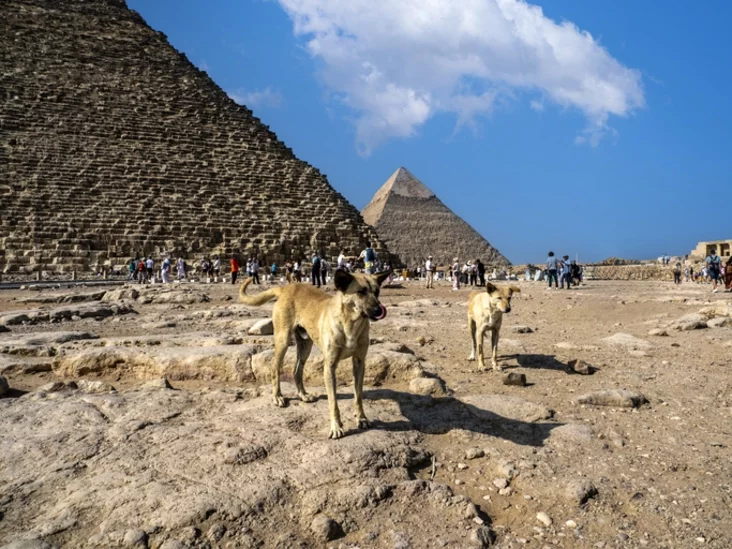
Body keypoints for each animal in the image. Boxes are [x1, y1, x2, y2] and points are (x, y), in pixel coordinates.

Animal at [240, 268, 392, 438]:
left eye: (377, 291)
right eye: (361, 292)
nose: (379, 310)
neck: (350, 323)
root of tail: (287, 287)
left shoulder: (359, 363)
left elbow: (358, 396)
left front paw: (362, 418)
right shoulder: (330, 366)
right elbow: (333, 402)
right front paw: (336, 427)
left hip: (306, 346)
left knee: (296, 370)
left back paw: (303, 394)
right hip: (283, 340)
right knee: (275, 369)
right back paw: (277, 396)